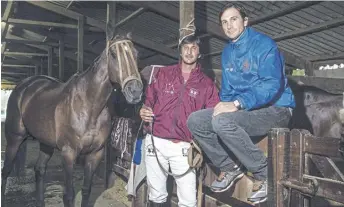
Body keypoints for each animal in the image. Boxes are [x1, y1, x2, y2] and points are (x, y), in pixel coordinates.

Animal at [0, 31, 143, 207]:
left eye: (136, 54)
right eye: (113, 54)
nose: (135, 91)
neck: (89, 106)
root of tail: (24, 86)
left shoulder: (95, 154)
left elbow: (86, 191)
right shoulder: (69, 153)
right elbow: (69, 194)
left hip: (46, 144)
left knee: (39, 169)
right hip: (15, 138)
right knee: (6, 171)